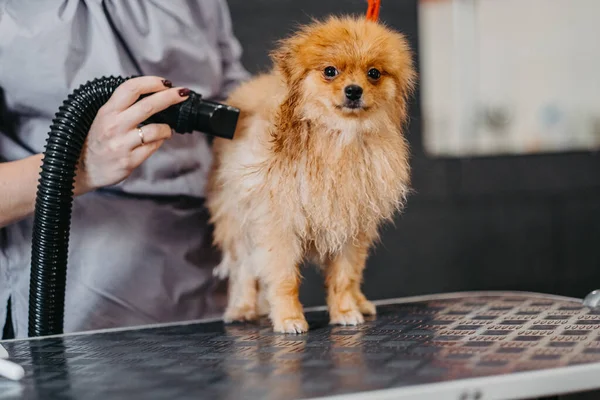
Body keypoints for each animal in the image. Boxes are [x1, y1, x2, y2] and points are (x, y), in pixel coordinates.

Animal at [204, 14, 414, 334]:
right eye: (330, 71)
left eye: (374, 73)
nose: (354, 90)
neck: (338, 137)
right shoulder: (278, 225)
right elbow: (283, 278)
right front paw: (289, 318)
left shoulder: (351, 227)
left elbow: (344, 277)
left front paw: (345, 311)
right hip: (238, 223)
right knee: (244, 272)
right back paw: (242, 309)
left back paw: (360, 303)